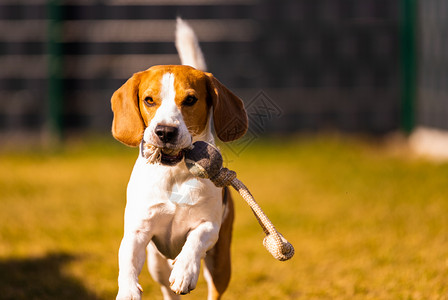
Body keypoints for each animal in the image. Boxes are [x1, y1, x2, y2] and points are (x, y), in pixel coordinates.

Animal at [110, 19, 247, 300]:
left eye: (190, 99)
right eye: (149, 99)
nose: (165, 131)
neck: (173, 174)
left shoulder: (210, 226)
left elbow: (195, 239)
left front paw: (185, 270)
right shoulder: (137, 230)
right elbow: (126, 260)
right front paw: (127, 290)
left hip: (220, 264)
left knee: (214, 288)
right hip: (156, 264)